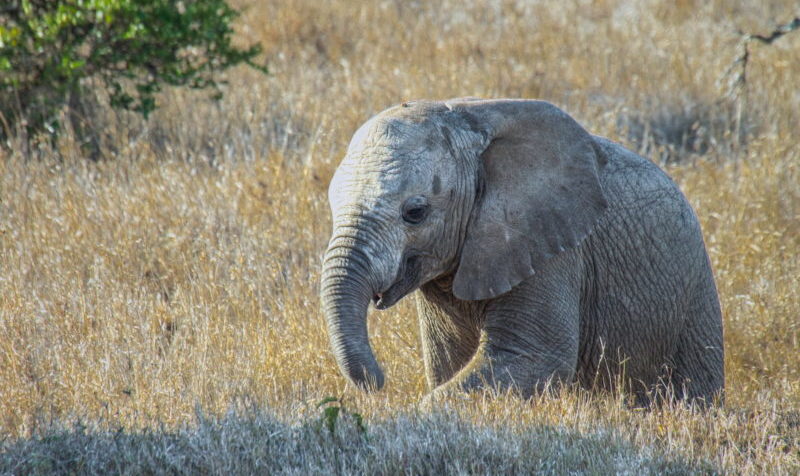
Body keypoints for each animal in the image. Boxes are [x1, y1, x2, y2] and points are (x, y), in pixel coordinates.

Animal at [318, 98, 724, 404]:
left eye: (415, 212)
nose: (379, 381)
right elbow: (449, 360)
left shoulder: (552, 248)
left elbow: (532, 355)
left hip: (695, 300)